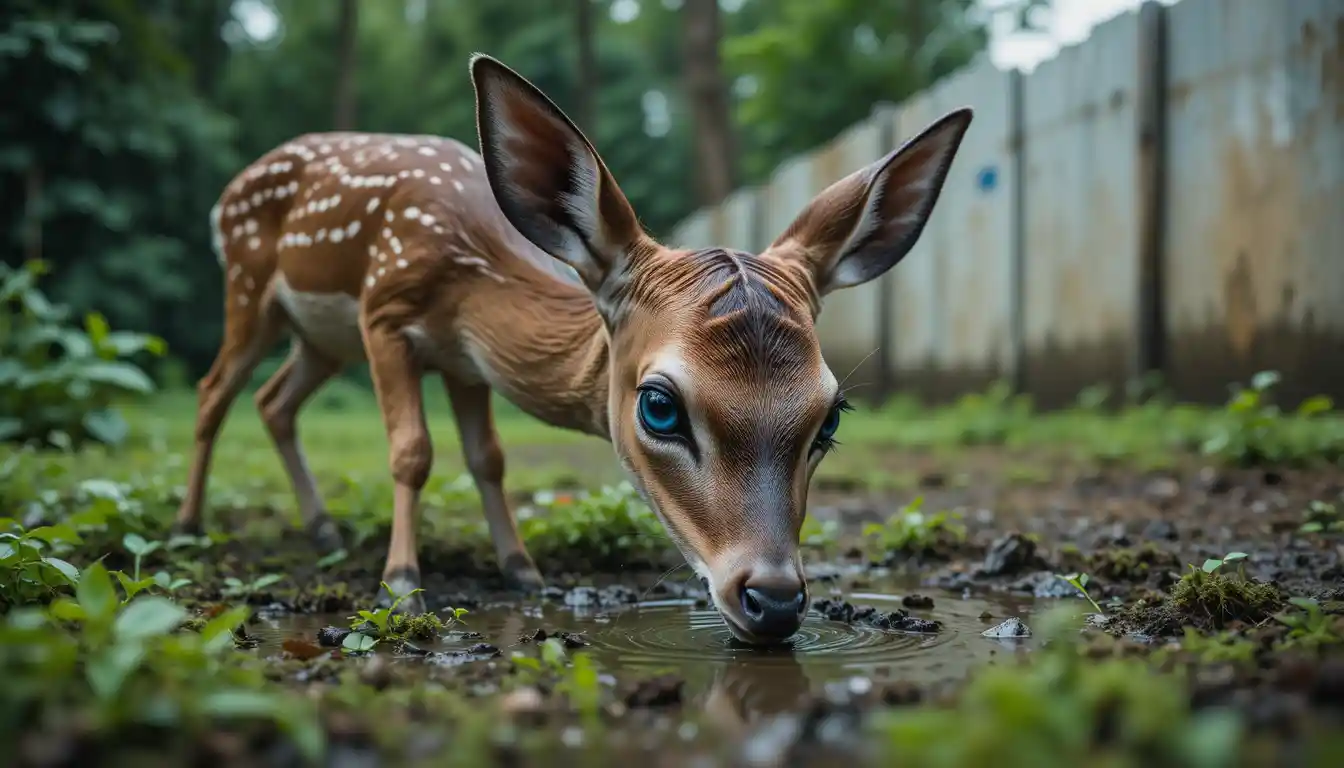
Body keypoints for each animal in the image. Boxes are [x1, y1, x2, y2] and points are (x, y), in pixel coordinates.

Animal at [177, 53, 971, 646]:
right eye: (659, 407)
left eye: (830, 416)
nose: (774, 601)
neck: (472, 280)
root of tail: (223, 197)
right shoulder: (386, 312)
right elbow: (412, 452)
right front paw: (403, 583)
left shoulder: (463, 360)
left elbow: (487, 458)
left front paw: (522, 570)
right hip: (251, 291)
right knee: (215, 392)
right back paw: (190, 525)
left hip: (319, 339)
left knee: (273, 401)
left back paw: (321, 529)